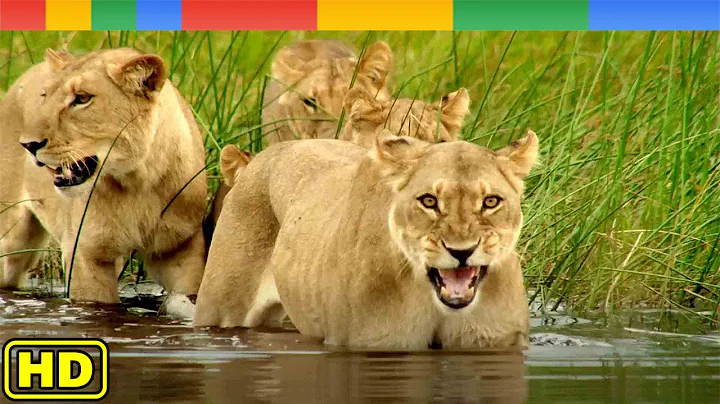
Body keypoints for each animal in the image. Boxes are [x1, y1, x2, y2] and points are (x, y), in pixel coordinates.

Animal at [0, 48, 207, 307]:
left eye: (82, 98)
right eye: (44, 96)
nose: (28, 144)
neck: (137, 182)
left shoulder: (180, 248)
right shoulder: (86, 253)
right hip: (11, 236)